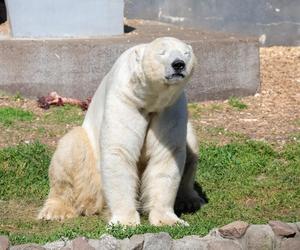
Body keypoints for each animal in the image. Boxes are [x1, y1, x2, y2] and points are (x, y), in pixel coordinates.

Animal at [37, 37, 202, 227]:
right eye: (162, 53)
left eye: (186, 53)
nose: (178, 64)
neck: (150, 100)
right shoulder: (125, 99)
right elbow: (119, 151)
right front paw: (125, 221)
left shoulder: (169, 108)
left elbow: (167, 154)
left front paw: (169, 220)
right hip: (91, 175)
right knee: (71, 149)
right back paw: (57, 210)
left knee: (192, 146)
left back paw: (189, 200)